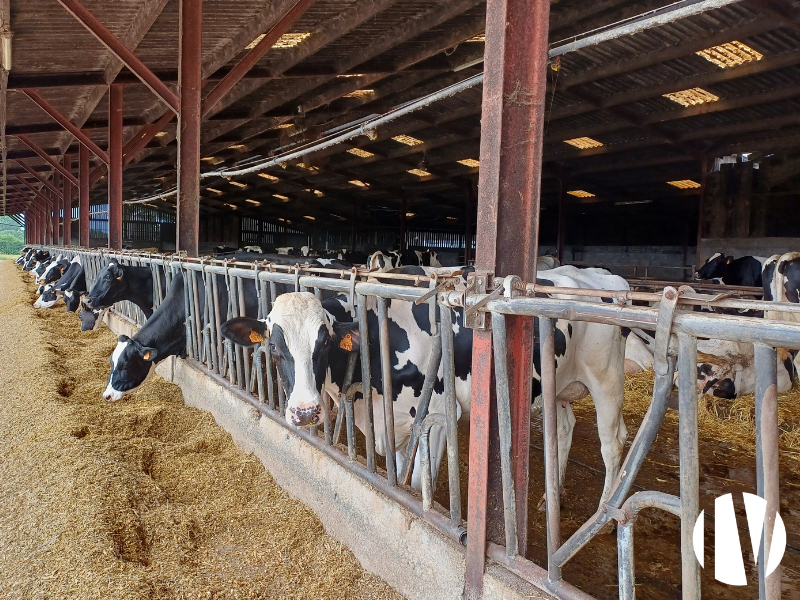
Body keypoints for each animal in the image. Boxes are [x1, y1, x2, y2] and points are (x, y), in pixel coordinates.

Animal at [220, 264, 632, 504]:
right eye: (275, 348)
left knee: (613, 444)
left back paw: (603, 515)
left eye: (324, 343)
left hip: (607, 378)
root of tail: (604, 277)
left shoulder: (436, 415)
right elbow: (398, 471)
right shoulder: (392, 420)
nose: (305, 411)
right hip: (557, 384)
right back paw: (552, 495)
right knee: (562, 428)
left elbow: (418, 486)